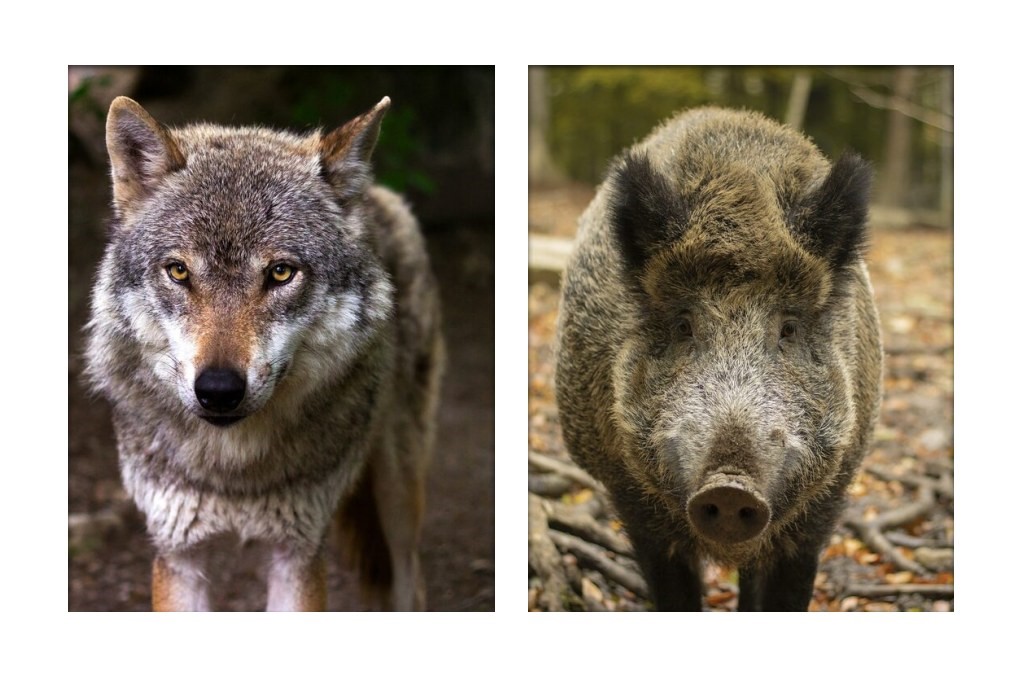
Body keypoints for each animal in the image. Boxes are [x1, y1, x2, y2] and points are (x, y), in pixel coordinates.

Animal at [84, 95, 444, 611]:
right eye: (178, 271)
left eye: (280, 273)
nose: (218, 390)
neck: (233, 470)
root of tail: (375, 195)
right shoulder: (178, 554)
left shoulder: (296, 553)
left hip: (398, 495)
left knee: (410, 579)